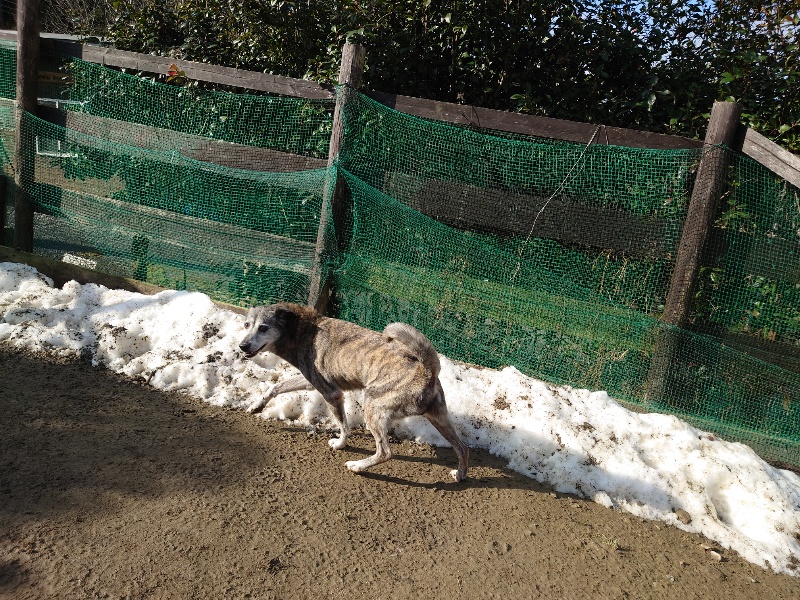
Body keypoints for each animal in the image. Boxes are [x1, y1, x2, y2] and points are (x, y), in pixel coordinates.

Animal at [238, 303, 469, 482]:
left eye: (264, 328)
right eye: (247, 325)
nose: (242, 346)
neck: (302, 330)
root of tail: (428, 369)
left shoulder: (332, 394)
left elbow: (343, 426)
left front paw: (340, 444)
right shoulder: (311, 382)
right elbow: (275, 386)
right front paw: (256, 406)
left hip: (372, 407)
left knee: (385, 452)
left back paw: (357, 466)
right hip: (439, 418)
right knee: (462, 447)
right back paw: (460, 475)